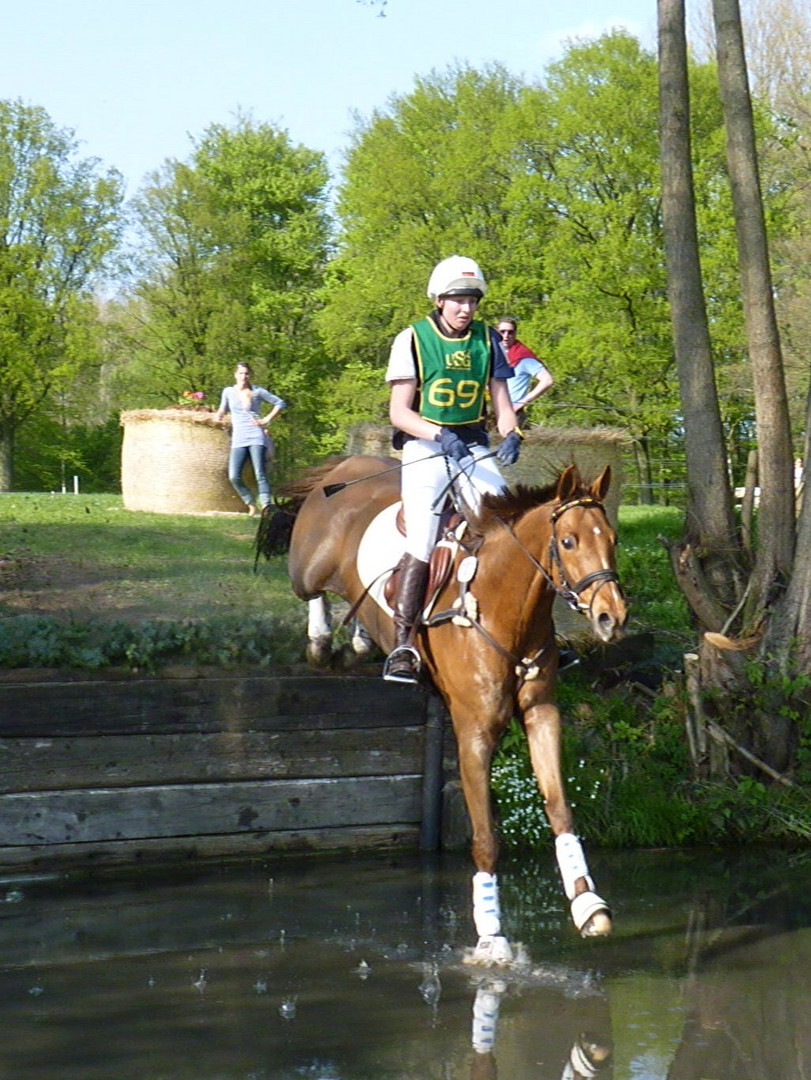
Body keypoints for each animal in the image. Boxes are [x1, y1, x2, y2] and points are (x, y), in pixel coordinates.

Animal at [266, 455, 626, 963]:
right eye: (568, 541)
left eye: (612, 539)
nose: (612, 617)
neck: (503, 607)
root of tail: (346, 465)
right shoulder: (474, 729)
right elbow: (486, 838)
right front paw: (491, 934)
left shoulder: (543, 714)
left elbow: (560, 810)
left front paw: (587, 904)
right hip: (308, 566)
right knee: (310, 595)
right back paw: (323, 638)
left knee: (356, 621)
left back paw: (359, 641)